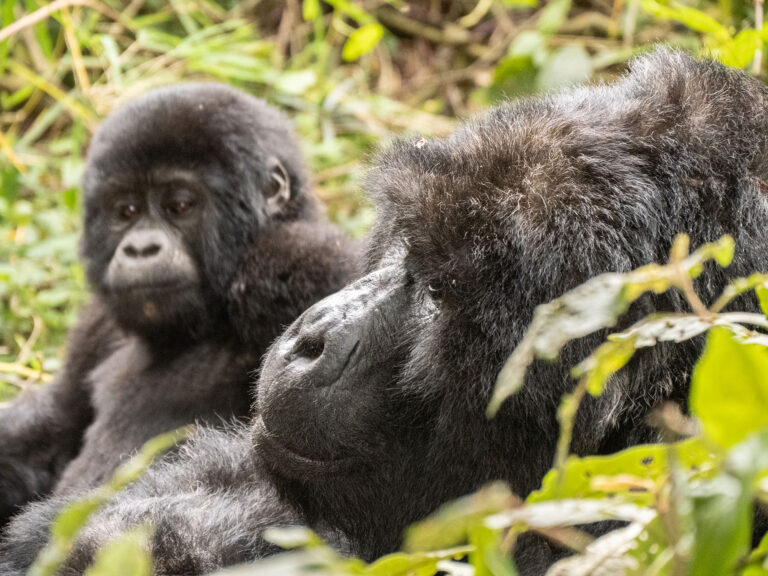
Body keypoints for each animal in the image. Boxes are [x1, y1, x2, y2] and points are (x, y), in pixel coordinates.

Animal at [0, 83, 362, 528]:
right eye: (126, 210)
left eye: (180, 206)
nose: (140, 248)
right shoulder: (96, 327)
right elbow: (57, 420)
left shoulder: (303, 264)